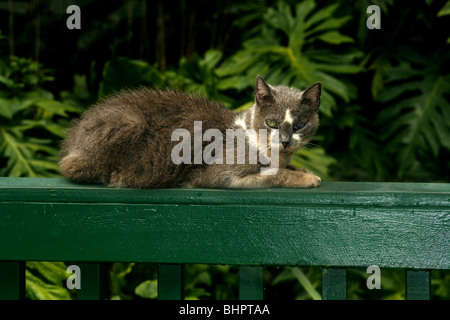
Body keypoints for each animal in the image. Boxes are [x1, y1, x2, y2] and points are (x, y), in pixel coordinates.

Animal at [58, 75, 322, 189]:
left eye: (299, 126)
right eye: (272, 123)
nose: (286, 141)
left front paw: (304, 170)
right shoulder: (219, 173)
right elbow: (274, 175)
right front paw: (308, 178)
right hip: (128, 123)